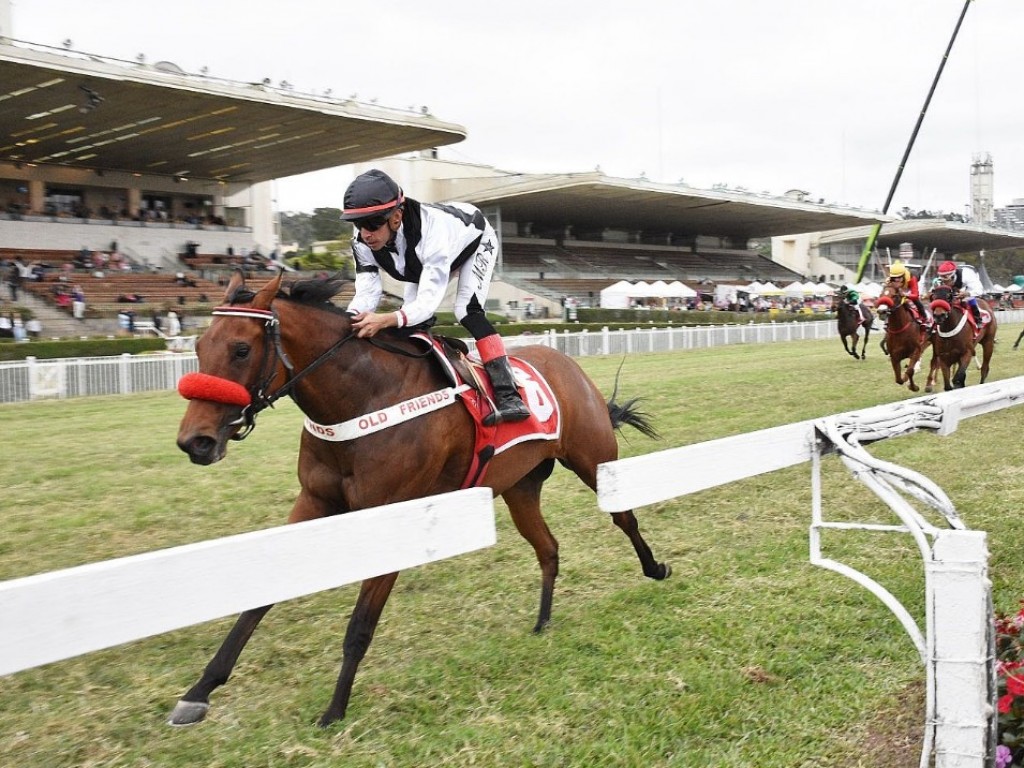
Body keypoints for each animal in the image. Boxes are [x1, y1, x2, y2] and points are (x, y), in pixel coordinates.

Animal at [172, 274, 667, 729]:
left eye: (240, 349)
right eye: (199, 345)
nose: (195, 442)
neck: (364, 397)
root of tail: (568, 364)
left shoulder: (393, 514)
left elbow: (360, 624)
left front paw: (334, 709)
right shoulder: (314, 502)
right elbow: (262, 596)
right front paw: (200, 691)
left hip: (593, 459)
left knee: (624, 517)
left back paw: (655, 569)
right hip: (519, 487)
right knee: (548, 548)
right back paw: (543, 622)